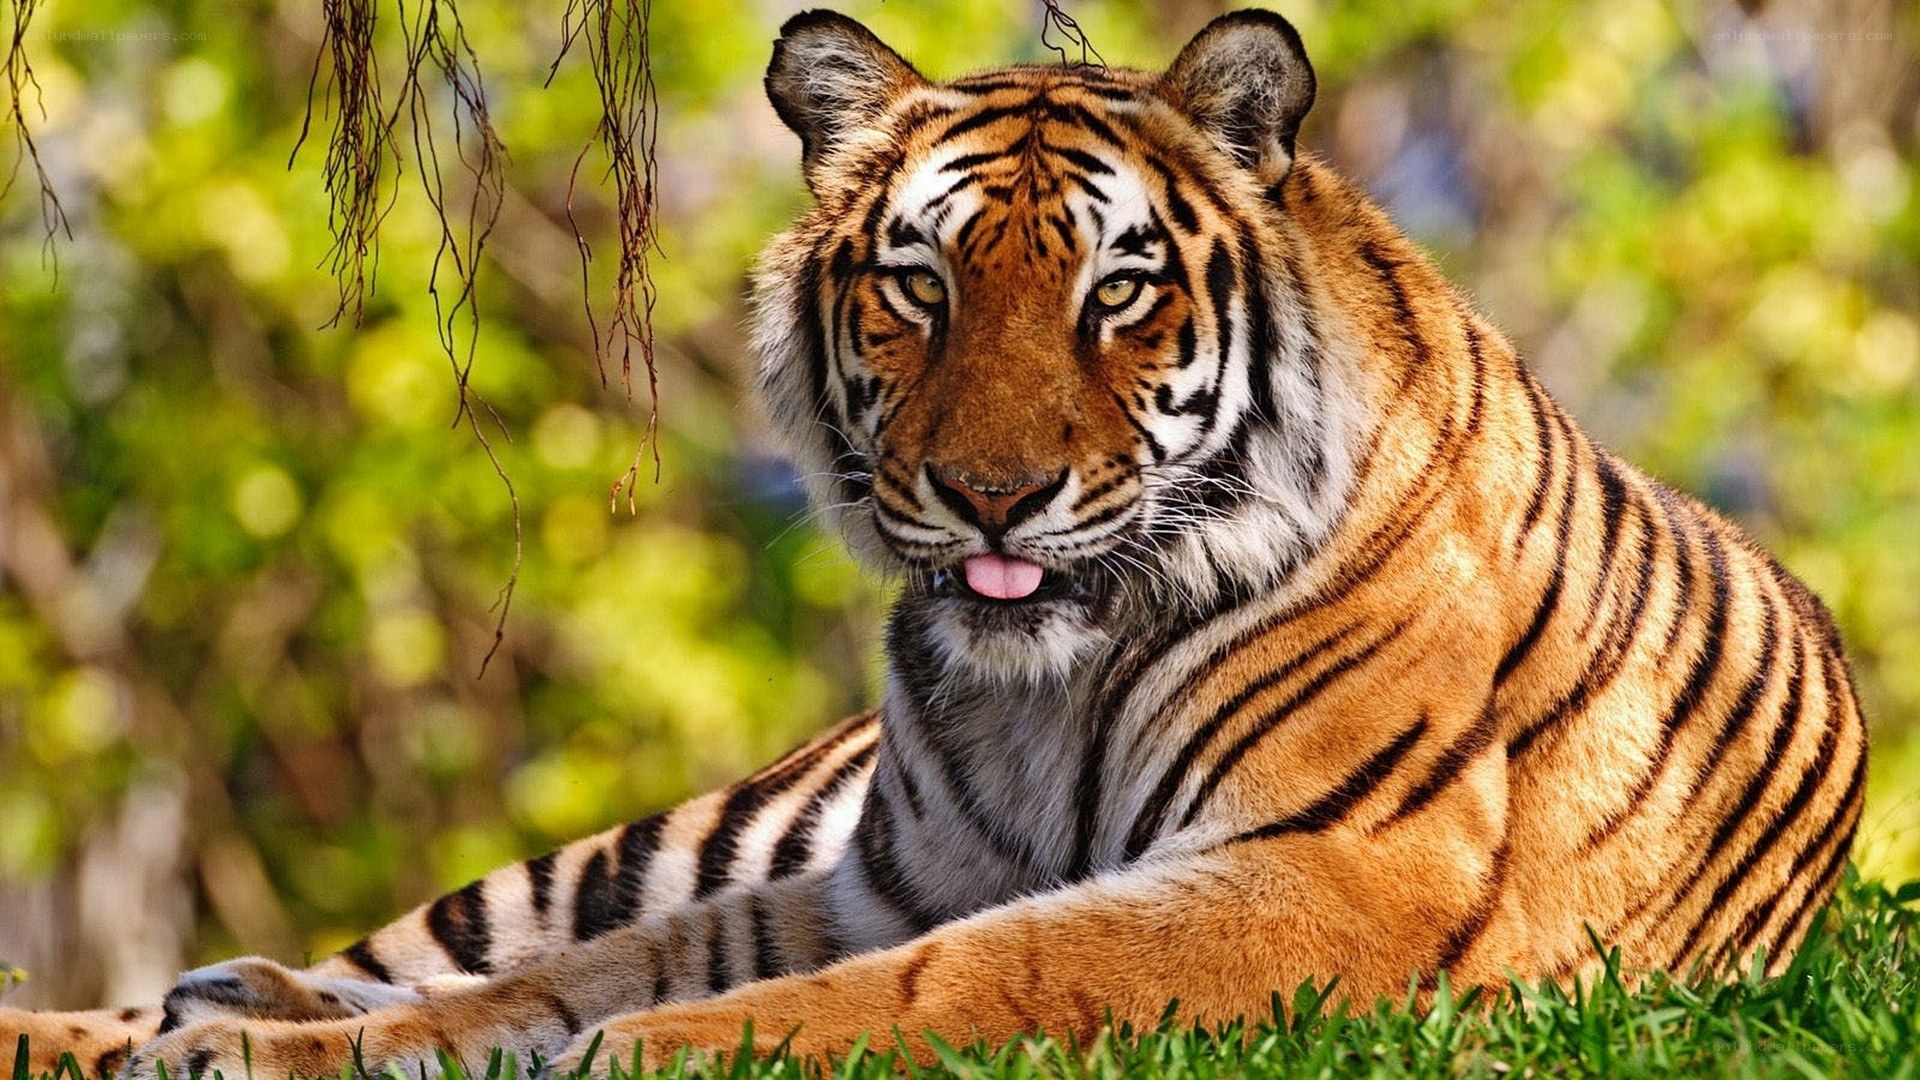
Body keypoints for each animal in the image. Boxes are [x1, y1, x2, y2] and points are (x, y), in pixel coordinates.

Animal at [2, 8, 1868, 1079]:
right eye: (921, 284)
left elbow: (948, 981)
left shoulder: (1335, 872)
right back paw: (188, 1012)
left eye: (1117, 291)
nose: (991, 494)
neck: (1044, 682)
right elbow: (562, 979)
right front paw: (276, 1054)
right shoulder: (876, 875)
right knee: (380, 958)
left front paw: (641, 1054)